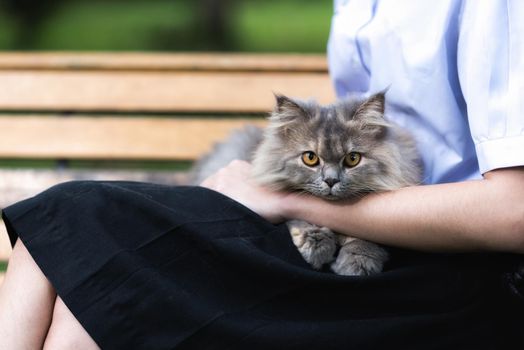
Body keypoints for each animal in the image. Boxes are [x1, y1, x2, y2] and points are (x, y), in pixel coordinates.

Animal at [190, 93, 424, 276]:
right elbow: (300, 218)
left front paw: (357, 263)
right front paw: (316, 246)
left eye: (352, 159)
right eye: (310, 158)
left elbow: (367, 239)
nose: (331, 180)